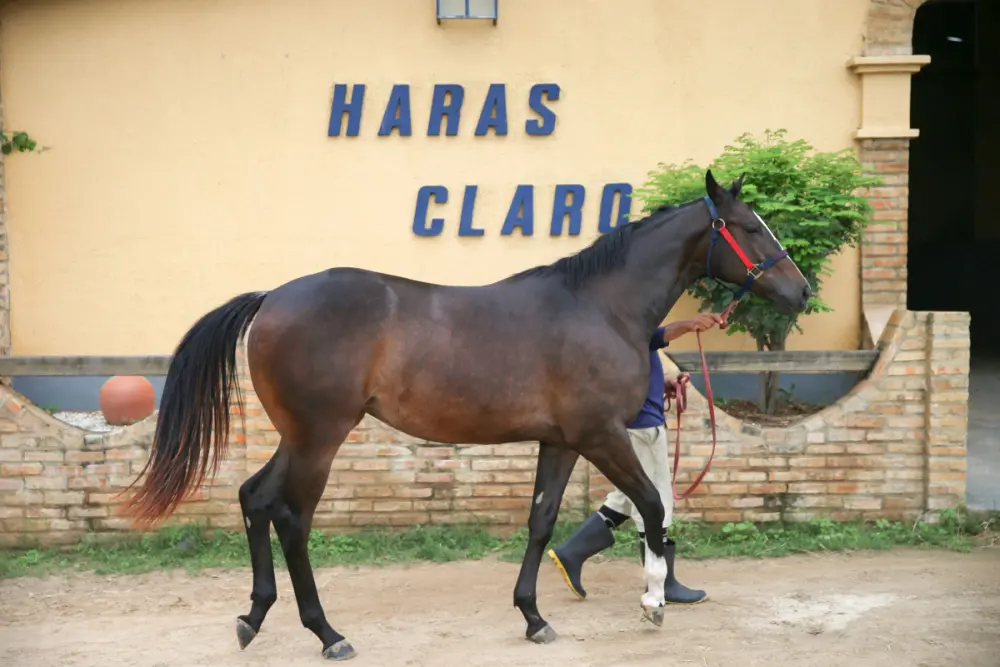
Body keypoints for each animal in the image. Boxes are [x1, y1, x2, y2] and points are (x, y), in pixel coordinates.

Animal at [122, 169, 810, 661]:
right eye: (749, 227)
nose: (800, 290)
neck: (599, 306)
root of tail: (271, 299)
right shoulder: (600, 434)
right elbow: (651, 506)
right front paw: (653, 600)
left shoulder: (562, 441)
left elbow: (541, 522)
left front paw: (533, 616)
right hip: (321, 436)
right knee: (291, 517)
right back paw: (327, 633)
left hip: (298, 435)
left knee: (254, 497)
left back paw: (254, 616)